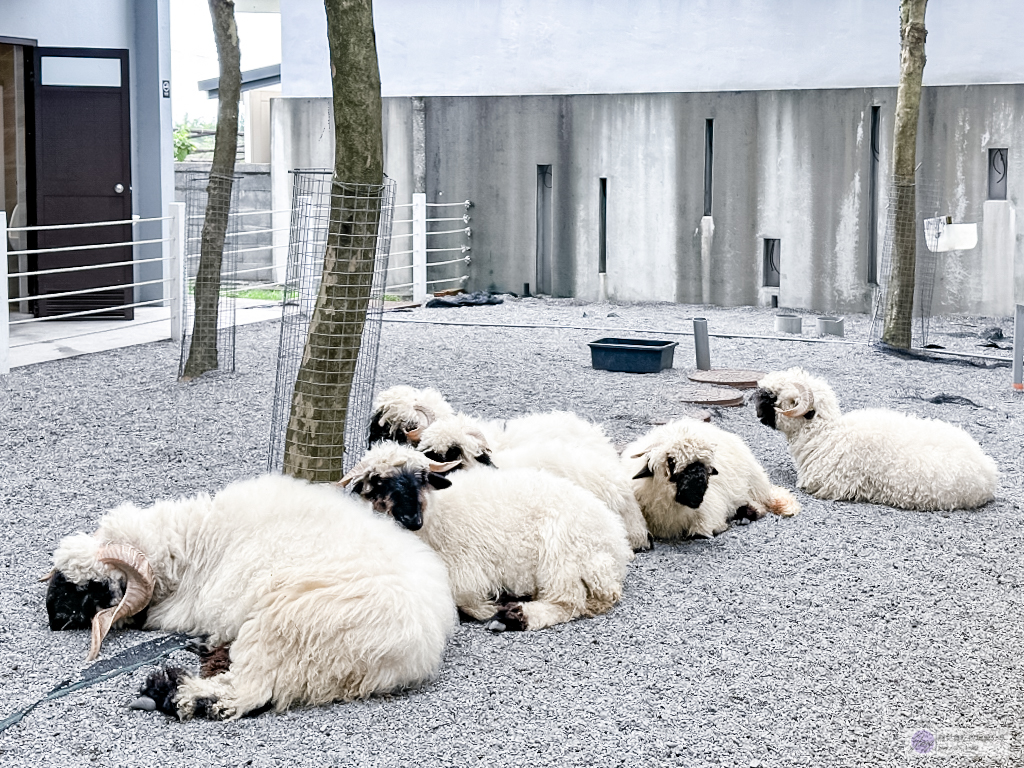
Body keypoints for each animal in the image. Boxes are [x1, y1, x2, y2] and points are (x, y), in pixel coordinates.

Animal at [344, 442, 630, 634]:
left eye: (422, 478)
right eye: (377, 481)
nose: (412, 520)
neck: (437, 514)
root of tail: (616, 540)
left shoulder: (466, 568)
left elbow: (465, 598)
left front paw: (491, 607)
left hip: (561, 556)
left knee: (568, 602)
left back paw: (514, 617)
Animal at [618, 417, 802, 536]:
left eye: (706, 467)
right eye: (671, 462)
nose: (698, 489)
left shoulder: (711, 510)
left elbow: (699, 532)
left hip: (753, 485)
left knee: (761, 504)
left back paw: (747, 513)